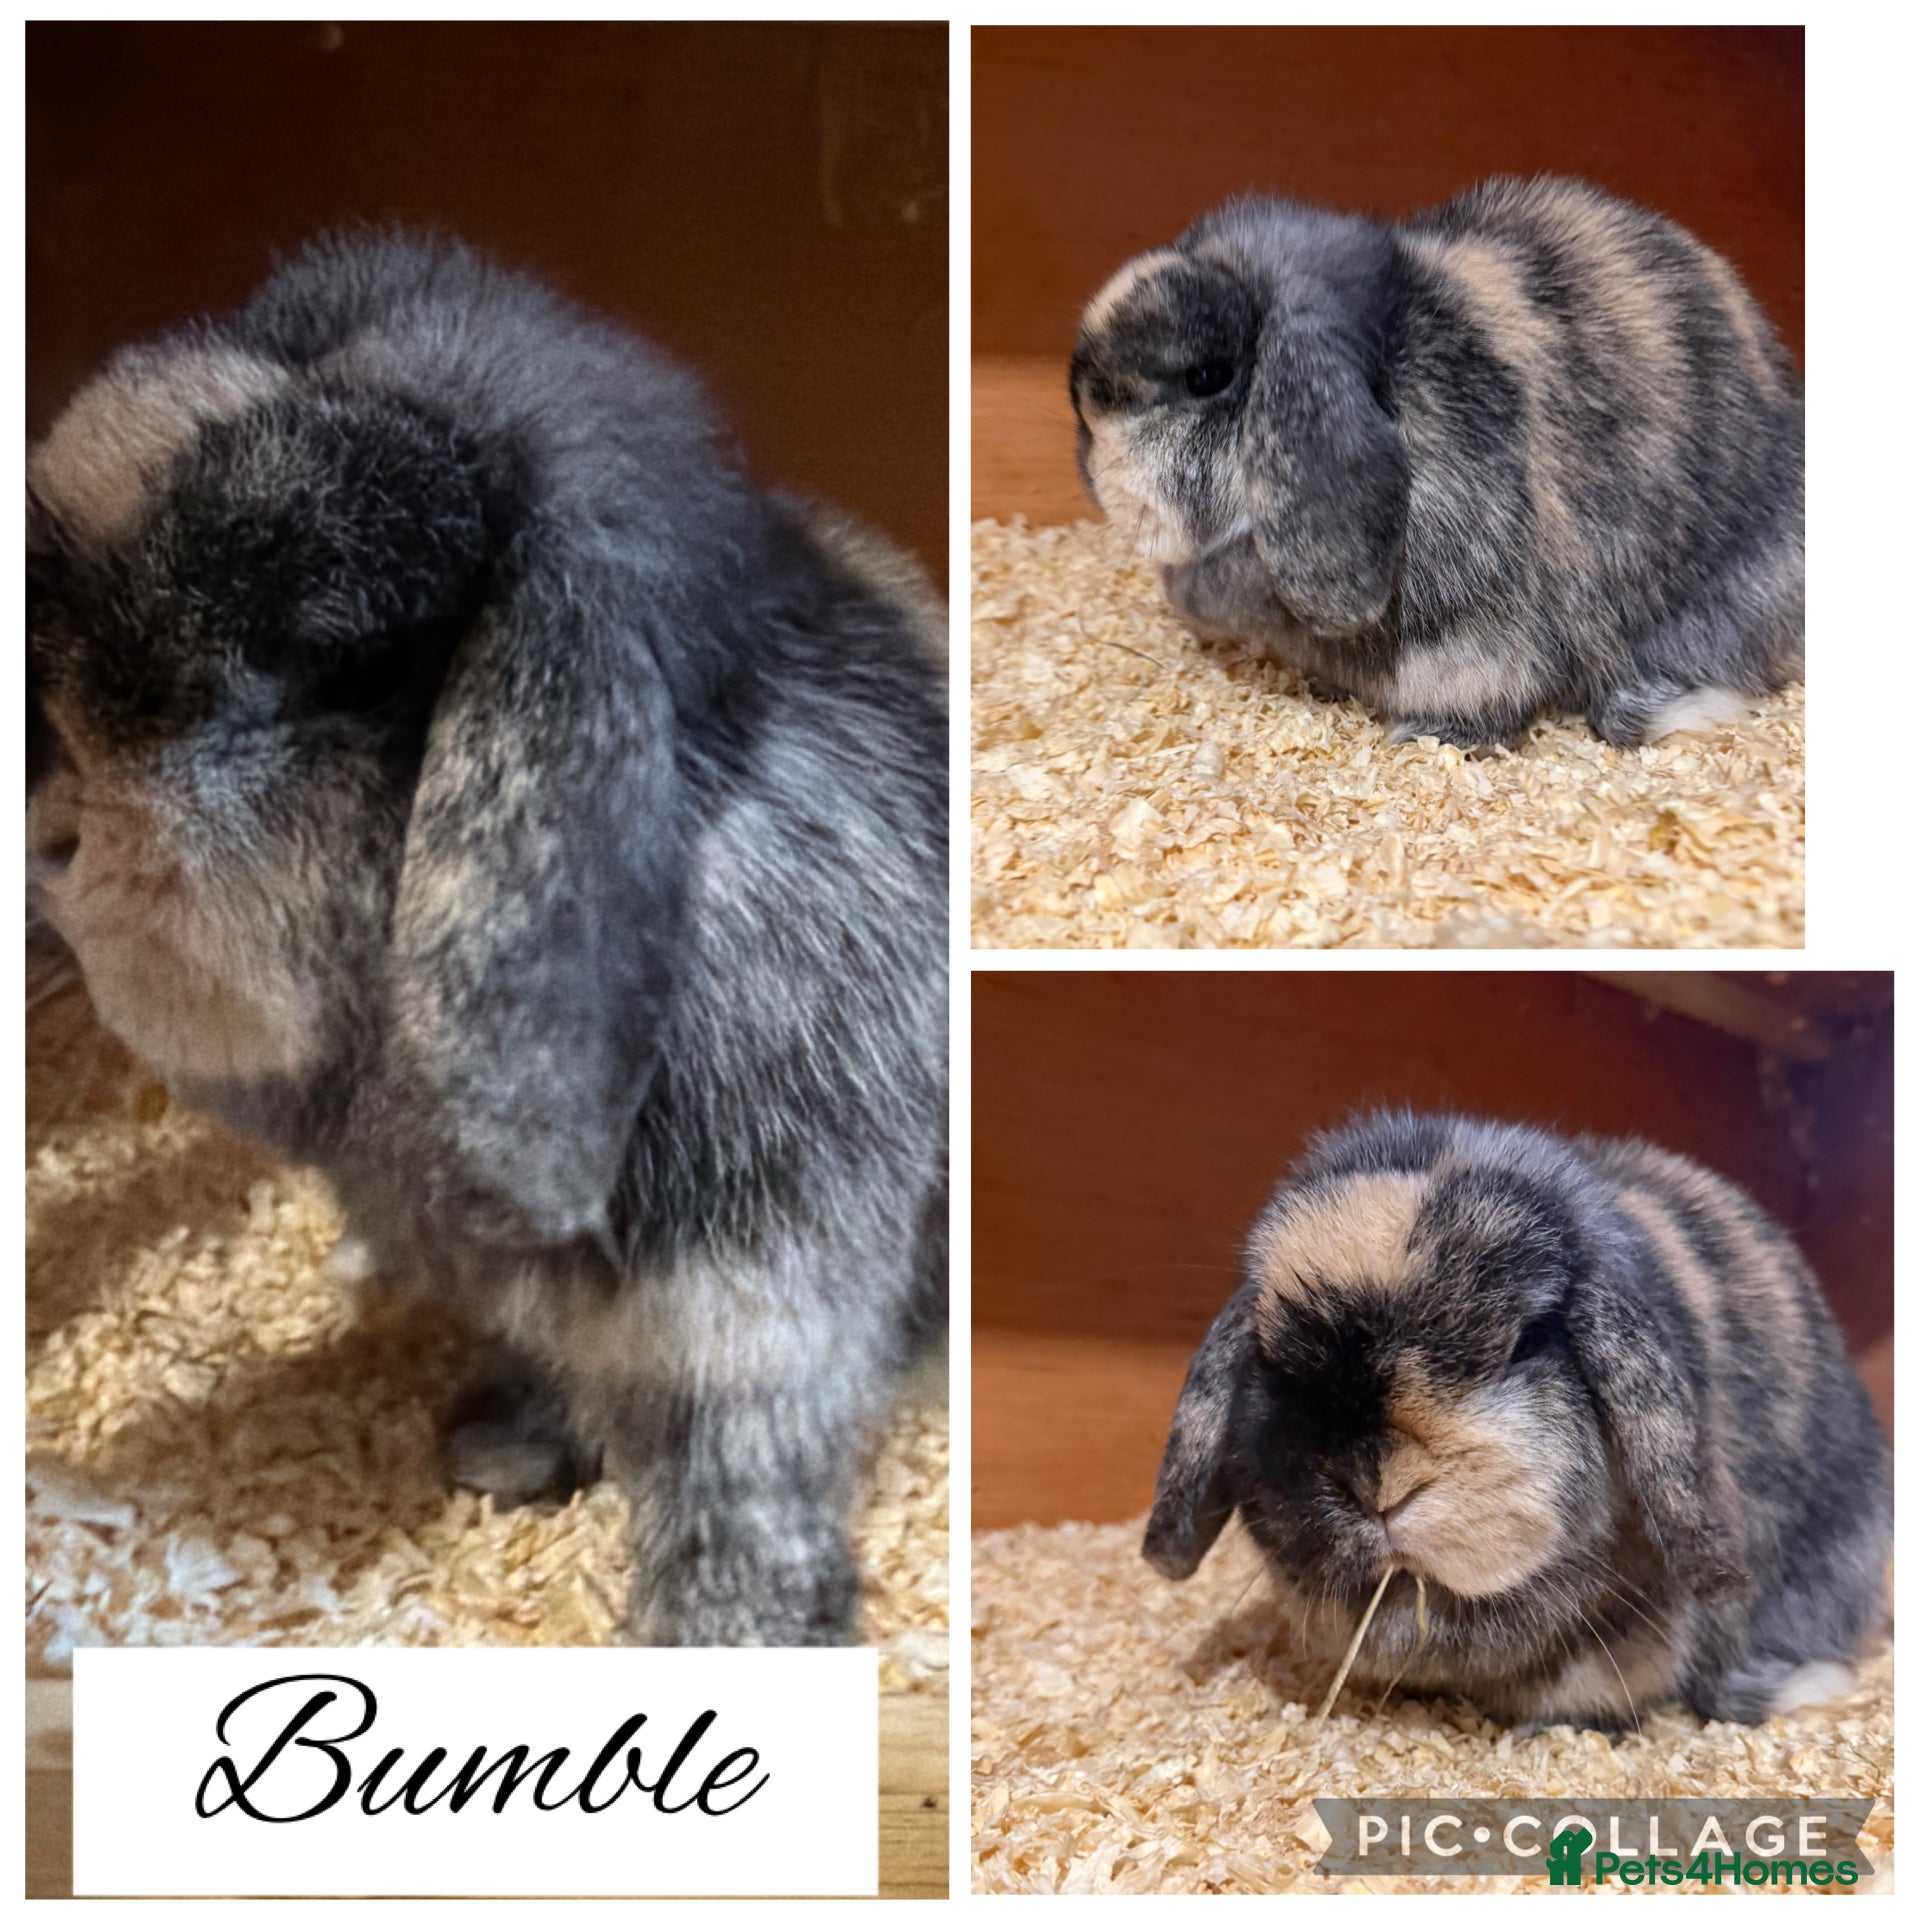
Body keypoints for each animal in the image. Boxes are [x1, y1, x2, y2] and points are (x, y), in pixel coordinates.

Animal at [25, 230, 949, 1647]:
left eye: (335, 658)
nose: (54, 834)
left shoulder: (759, 1308)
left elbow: (740, 1480)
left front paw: (723, 1632)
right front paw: (502, 1452)